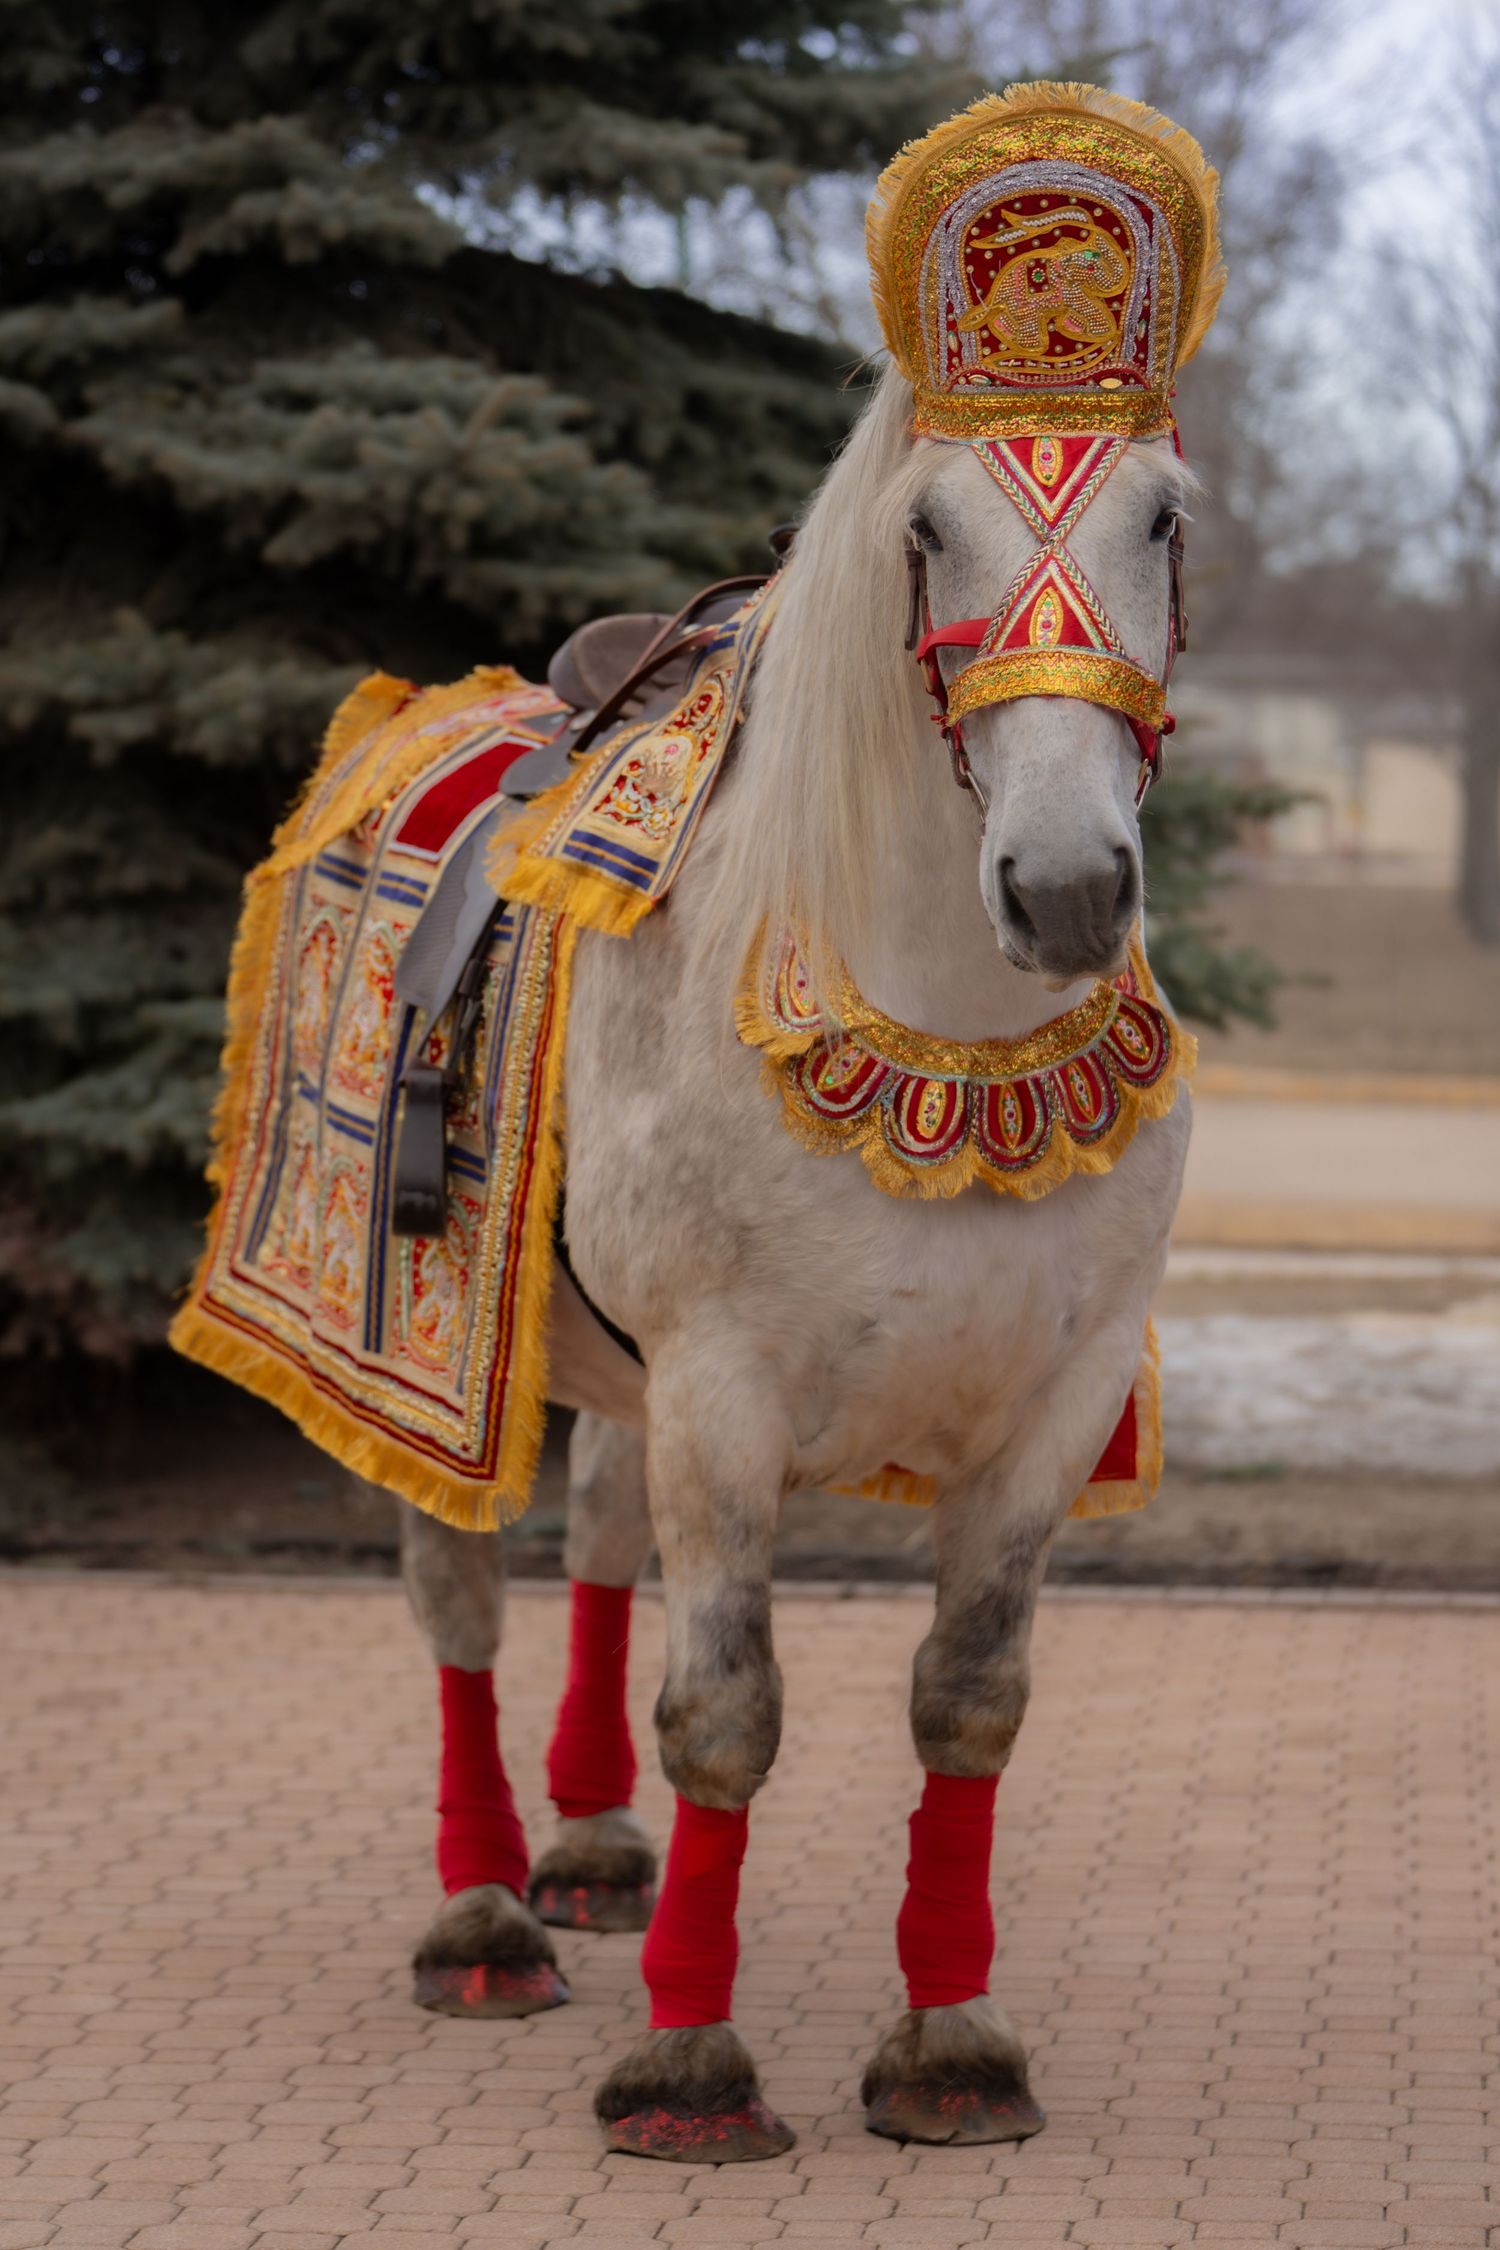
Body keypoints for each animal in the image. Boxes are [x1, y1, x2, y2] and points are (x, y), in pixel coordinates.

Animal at [387, 353, 1199, 2162]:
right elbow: (727, 1714)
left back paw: (590, 1852)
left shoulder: (1052, 1401)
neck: (947, 1033)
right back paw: (484, 1920)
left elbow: (969, 1696)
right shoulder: (725, 1392)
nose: (1065, 887)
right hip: (431, 1357)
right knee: (459, 1594)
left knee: (600, 1534)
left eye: (1166, 517)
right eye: (927, 527)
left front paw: (952, 2043)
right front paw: (690, 2067)